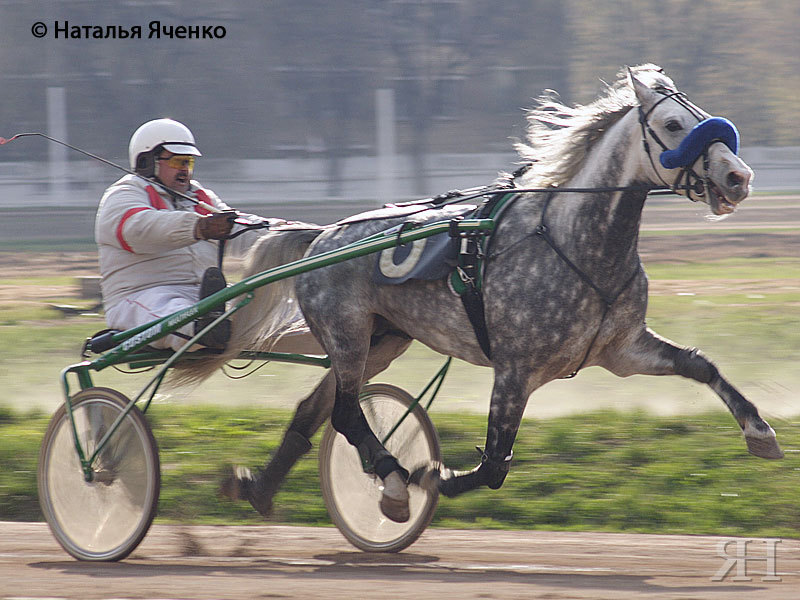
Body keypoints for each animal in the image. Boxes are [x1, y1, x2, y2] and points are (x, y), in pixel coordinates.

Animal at [209, 64, 784, 520]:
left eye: (702, 115)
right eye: (672, 125)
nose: (738, 177)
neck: (575, 241)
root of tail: (324, 235)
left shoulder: (621, 349)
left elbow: (699, 364)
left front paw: (759, 430)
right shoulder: (515, 368)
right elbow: (493, 465)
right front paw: (431, 476)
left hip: (383, 341)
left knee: (315, 407)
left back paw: (259, 488)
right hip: (347, 333)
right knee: (346, 412)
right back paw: (393, 479)